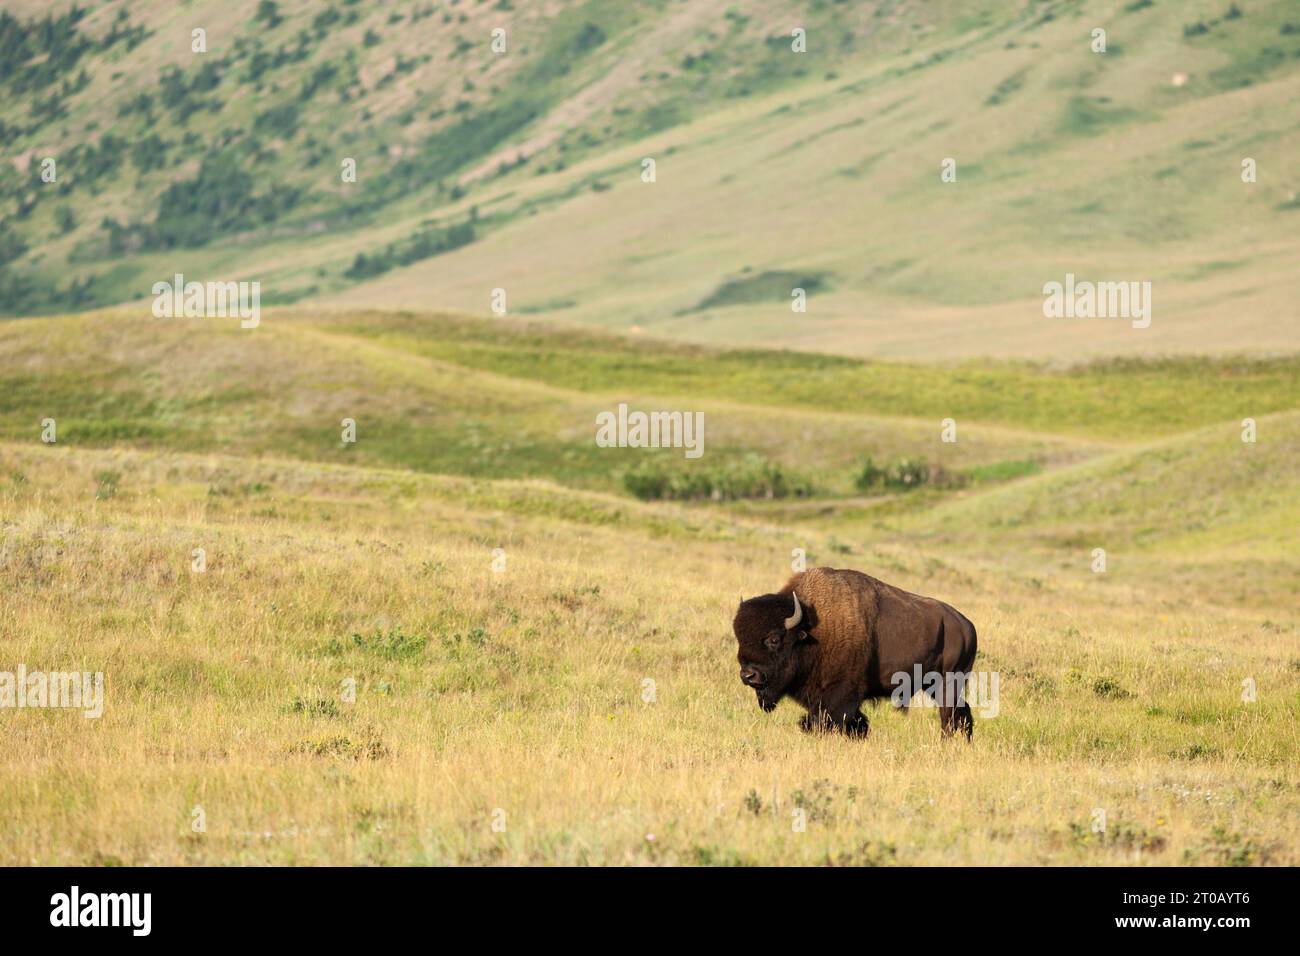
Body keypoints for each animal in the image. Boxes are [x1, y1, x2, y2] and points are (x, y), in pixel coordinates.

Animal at [733, 567, 977, 738]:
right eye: (740, 638)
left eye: (774, 639)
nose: (748, 675)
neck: (812, 629)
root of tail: (966, 626)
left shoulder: (841, 693)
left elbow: (825, 719)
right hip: (936, 685)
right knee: (962, 713)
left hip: (948, 683)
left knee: (948, 716)